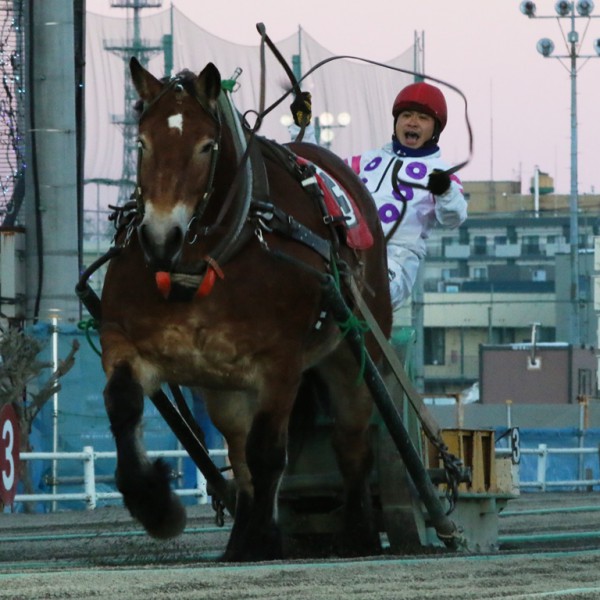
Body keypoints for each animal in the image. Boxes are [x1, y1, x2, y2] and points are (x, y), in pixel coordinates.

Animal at [101, 57, 392, 564]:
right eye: (141, 142)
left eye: (206, 146)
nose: (159, 237)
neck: (203, 264)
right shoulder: (126, 340)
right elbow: (123, 404)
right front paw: (156, 505)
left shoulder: (281, 361)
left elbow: (268, 451)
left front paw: (263, 535)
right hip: (225, 386)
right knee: (238, 449)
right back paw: (240, 536)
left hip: (357, 349)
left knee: (351, 438)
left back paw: (359, 532)